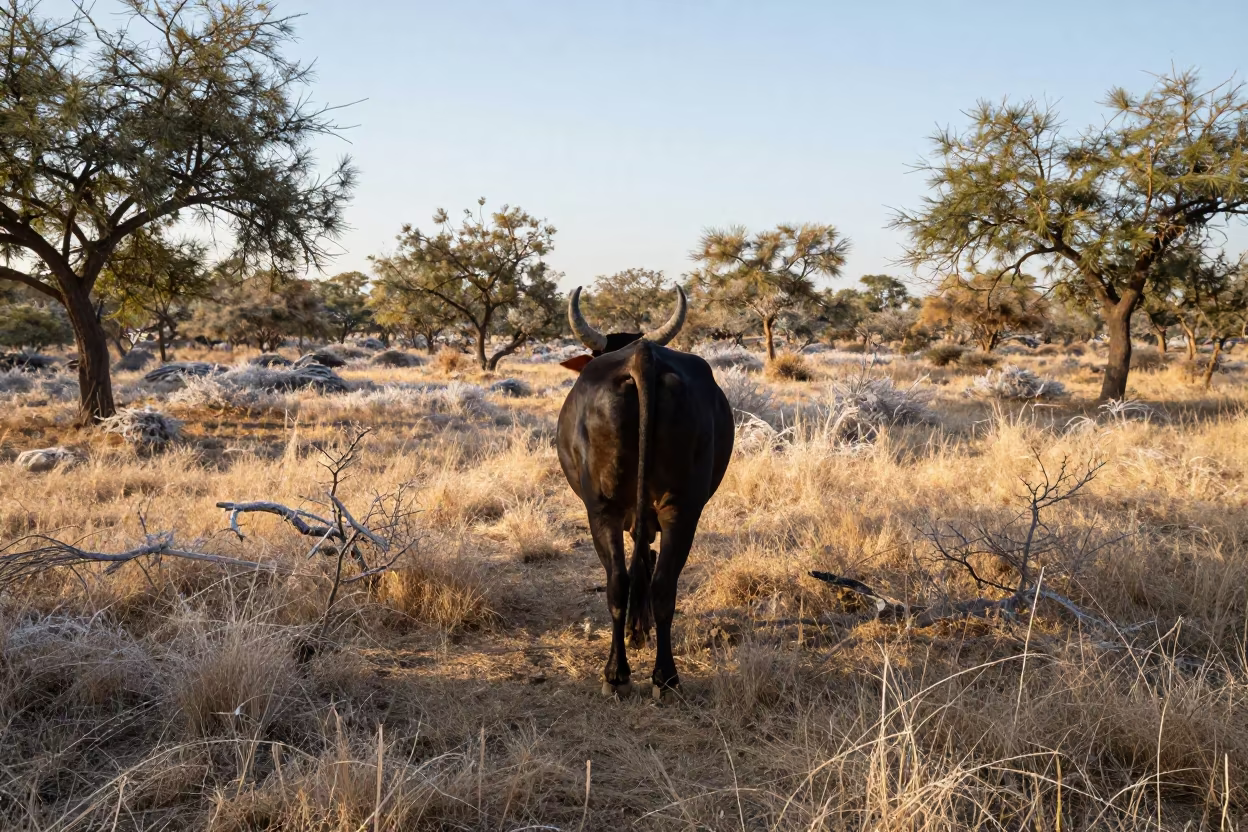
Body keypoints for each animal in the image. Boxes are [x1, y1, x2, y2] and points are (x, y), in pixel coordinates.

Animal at [556, 286, 734, 699]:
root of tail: (642, 355)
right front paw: (642, 630)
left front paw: (637, 633)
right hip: (681, 509)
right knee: (662, 584)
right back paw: (664, 678)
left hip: (602, 510)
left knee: (618, 583)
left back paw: (616, 675)